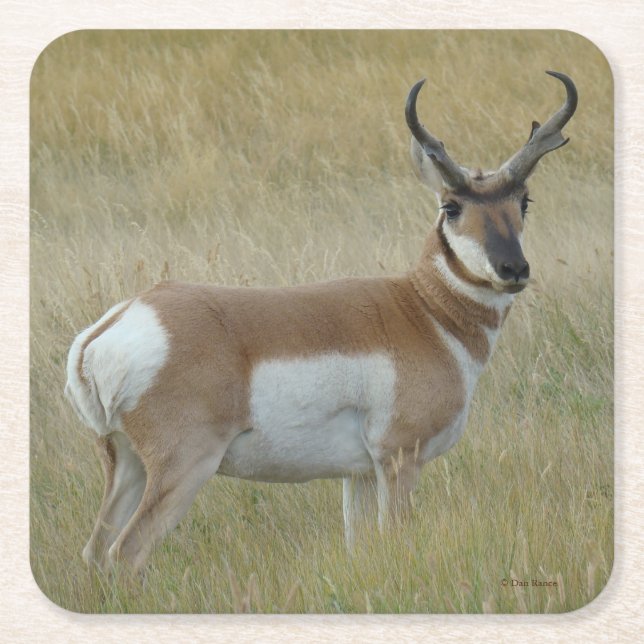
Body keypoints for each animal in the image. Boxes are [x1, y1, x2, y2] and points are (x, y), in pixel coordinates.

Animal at [65, 71, 577, 573]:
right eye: (451, 206)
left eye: (524, 202)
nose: (513, 269)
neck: (423, 313)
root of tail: (114, 327)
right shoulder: (399, 460)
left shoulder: (358, 474)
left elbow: (361, 546)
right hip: (185, 468)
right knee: (125, 552)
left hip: (127, 463)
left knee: (94, 551)